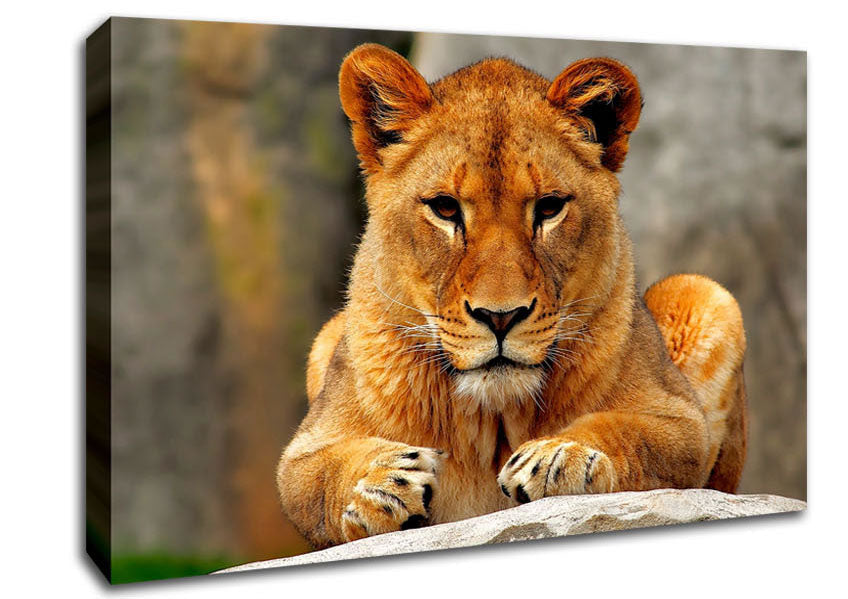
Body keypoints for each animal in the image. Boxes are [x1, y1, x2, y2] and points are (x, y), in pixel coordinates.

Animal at [276, 44, 747, 548]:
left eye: (549, 207)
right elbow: (316, 477)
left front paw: (562, 455)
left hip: (704, 294)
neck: (494, 420)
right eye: (445, 208)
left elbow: (628, 430)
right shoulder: (306, 449)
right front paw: (380, 484)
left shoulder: (679, 420)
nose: (500, 317)